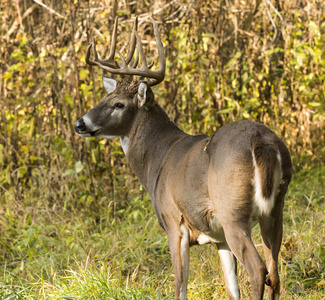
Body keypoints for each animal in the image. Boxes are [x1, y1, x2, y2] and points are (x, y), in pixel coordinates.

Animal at [75, 17, 292, 300]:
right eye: (104, 97)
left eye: (119, 104)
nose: (80, 123)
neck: (156, 158)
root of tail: (260, 140)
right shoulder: (218, 236)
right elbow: (231, 288)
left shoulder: (172, 222)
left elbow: (180, 287)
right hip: (276, 209)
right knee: (275, 274)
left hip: (233, 211)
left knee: (258, 270)